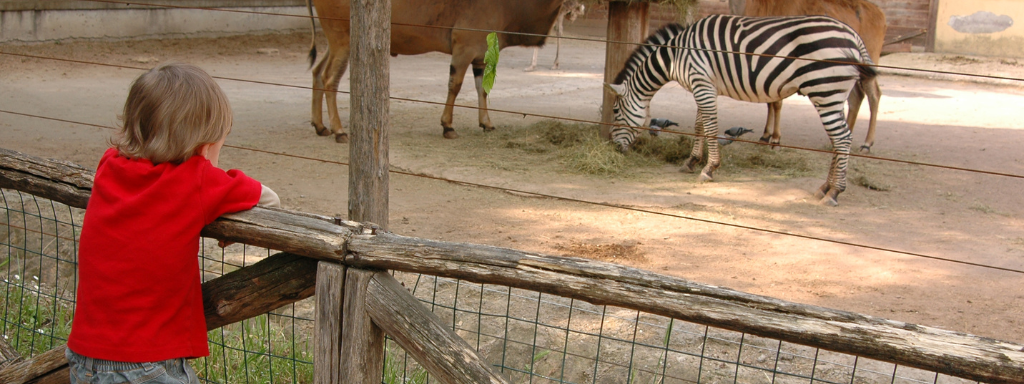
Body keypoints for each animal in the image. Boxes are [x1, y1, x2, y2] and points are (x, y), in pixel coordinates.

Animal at [305, 0, 561, 143]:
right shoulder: (464, 50)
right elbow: (455, 86)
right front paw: (448, 126)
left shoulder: (480, 57)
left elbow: (482, 90)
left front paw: (486, 123)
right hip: (343, 41)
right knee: (329, 79)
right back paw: (339, 131)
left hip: (334, 43)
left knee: (317, 72)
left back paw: (320, 126)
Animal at [602, 14, 876, 207]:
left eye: (615, 111)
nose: (614, 147)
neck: (676, 55)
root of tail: (854, 36)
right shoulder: (706, 85)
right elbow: (700, 124)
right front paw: (691, 161)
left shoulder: (702, 83)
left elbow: (710, 125)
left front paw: (709, 169)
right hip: (831, 94)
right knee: (839, 138)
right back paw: (824, 188)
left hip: (825, 89)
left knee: (843, 138)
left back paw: (834, 192)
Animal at [729, 0, 888, 152]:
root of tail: (879, 12)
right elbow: (770, 102)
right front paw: (765, 136)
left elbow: (777, 103)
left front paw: (775, 139)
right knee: (856, 97)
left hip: (868, 63)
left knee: (874, 95)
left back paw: (867, 144)